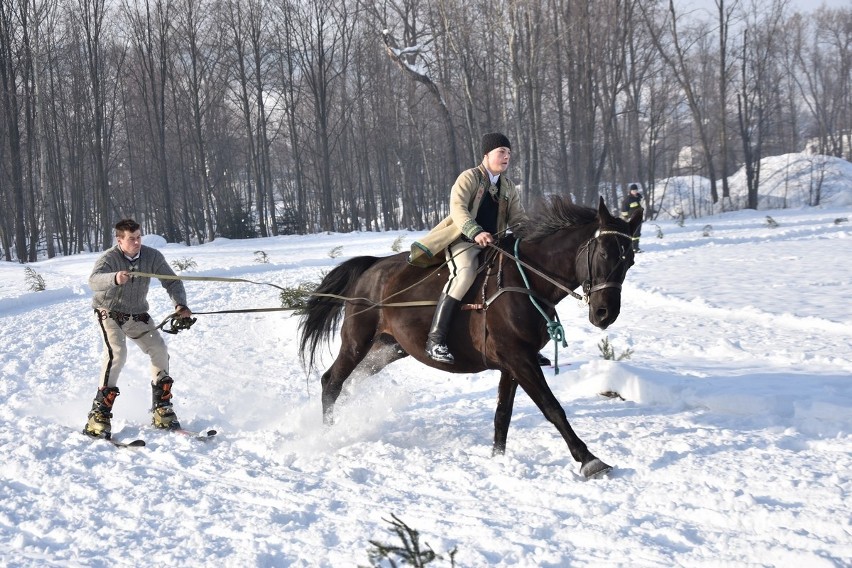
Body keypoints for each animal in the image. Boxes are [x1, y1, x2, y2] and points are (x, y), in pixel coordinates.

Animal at [298, 197, 640, 478]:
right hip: (357, 341)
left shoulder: (513, 363)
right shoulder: (519, 359)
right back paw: (329, 434)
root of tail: (372, 267)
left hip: (389, 348)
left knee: (349, 382)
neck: (526, 278)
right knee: (332, 382)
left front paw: (498, 458)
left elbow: (503, 414)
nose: (605, 313)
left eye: (630, 260)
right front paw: (589, 459)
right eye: (604, 252)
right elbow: (552, 407)